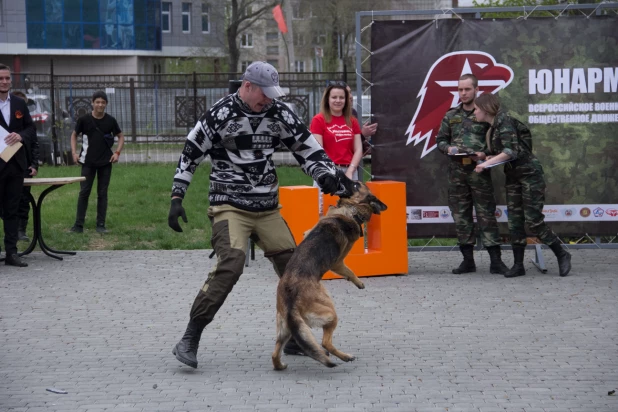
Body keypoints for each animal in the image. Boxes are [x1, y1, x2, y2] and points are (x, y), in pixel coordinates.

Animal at [270, 181, 384, 370]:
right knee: (325, 343)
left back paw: (281, 366)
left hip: (285, 330)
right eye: (357, 184)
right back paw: (345, 357)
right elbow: (349, 271)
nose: (353, 181)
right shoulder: (338, 262)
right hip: (331, 313)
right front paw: (359, 282)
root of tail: (291, 298)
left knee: (275, 353)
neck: (352, 210)